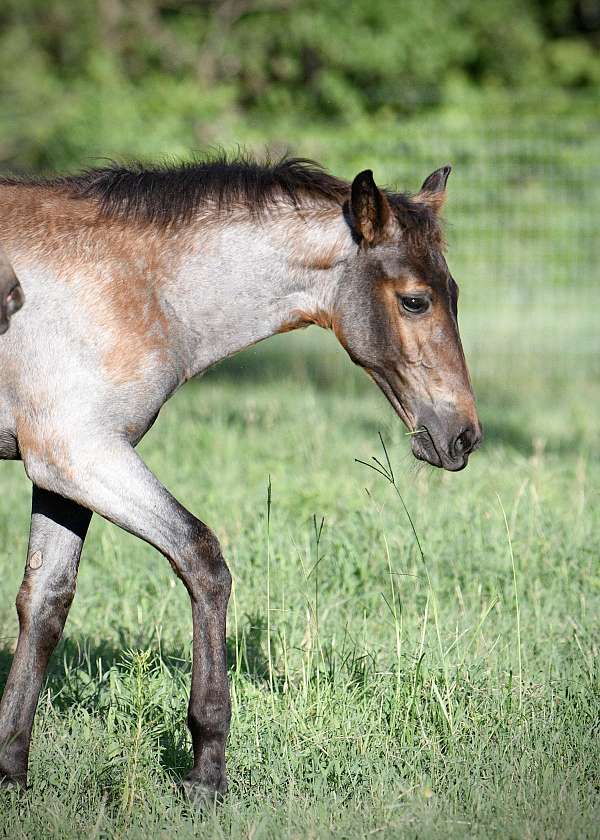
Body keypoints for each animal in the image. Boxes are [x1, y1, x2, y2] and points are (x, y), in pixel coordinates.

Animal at [0, 155, 481, 805]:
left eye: (452, 294)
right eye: (413, 301)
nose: (463, 436)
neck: (136, 284)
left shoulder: (61, 471)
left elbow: (46, 602)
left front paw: (10, 770)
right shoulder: (80, 452)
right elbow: (203, 559)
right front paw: (206, 773)